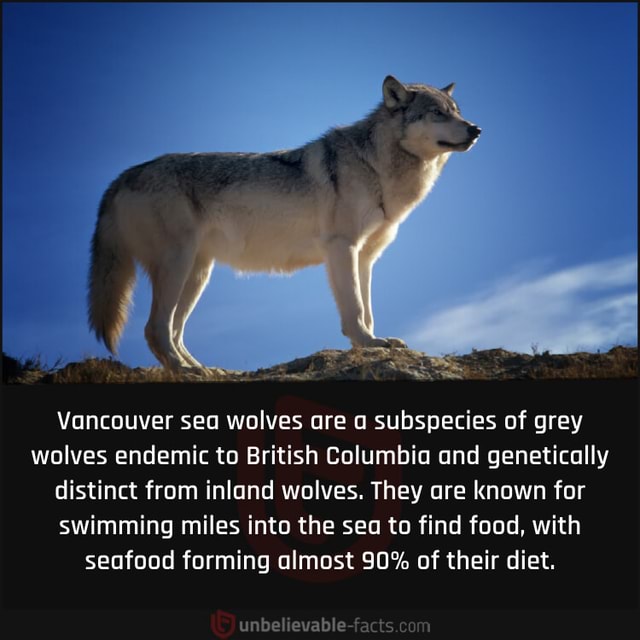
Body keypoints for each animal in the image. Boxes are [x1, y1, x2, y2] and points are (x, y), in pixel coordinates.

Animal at [88, 75, 480, 370]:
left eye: (457, 112)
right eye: (437, 114)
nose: (476, 129)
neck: (375, 166)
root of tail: (122, 176)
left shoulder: (366, 257)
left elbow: (368, 310)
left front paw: (373, 343)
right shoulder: (342, 249)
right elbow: (354, 309)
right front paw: (368, 344)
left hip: (198, 274)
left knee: (173, 331)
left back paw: (204, 370)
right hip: (178, 266)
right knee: (155, 329)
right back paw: (186, 371)